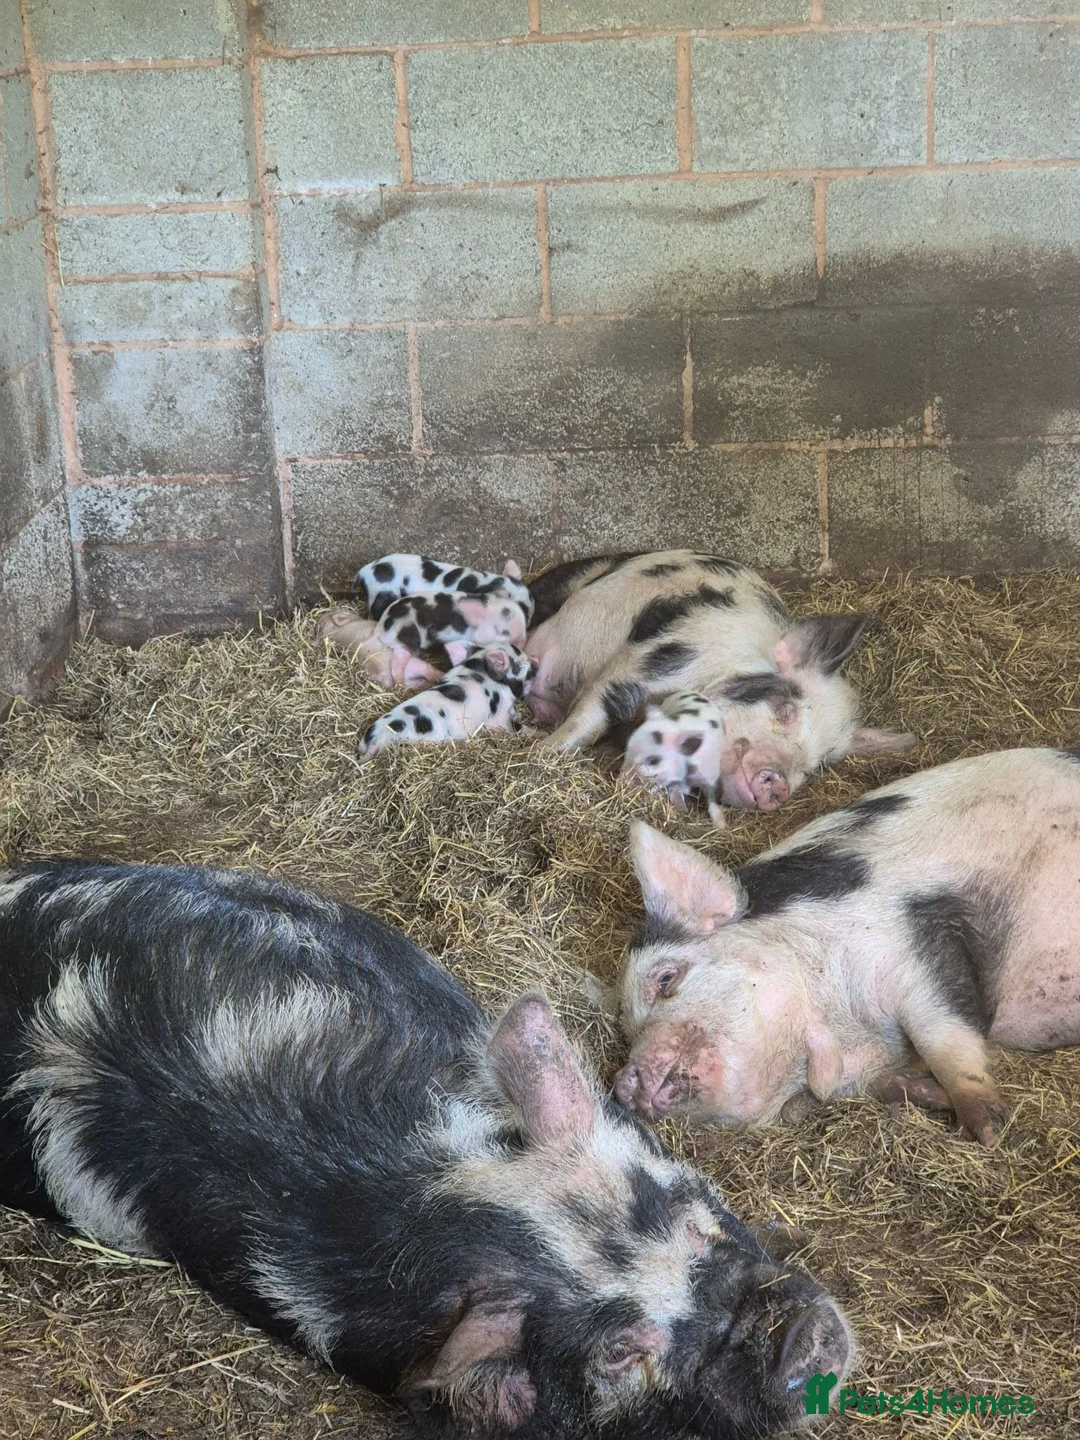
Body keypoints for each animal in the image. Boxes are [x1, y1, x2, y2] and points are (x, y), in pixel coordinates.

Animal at [321, 593, 529, 690]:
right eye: (504, 631)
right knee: (398, 663)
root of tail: (382, 626)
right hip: (405, 642)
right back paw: (400, 683)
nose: (522, 644)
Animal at [358, 644, 532, 758]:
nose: (535, 661)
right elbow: (515, 727)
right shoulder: (497, 720)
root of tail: (374, 741)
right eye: (520, 664)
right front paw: (534, 732)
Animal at [525, 551, 913, 808]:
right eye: (785, 710)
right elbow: (589, 715)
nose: (780, 786)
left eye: (817, 766)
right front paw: (543, 753)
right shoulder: (645, 665)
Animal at [614, 748, 1080, 1147]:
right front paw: (930, 1097)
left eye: (666, 978)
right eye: (629, 1033)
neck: (841, 1027)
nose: (621, 1083)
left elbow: (943, 1034)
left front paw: (988, 1131)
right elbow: (885, 1083)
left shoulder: (913, 940)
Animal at [620, 691, 728, 826]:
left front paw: (721, 826)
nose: (622, 777)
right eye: (628, 746)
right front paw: (682, 811)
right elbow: (674, 794)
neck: (687, 775)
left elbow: (712, 798)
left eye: (654, 761)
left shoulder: (710, 776)